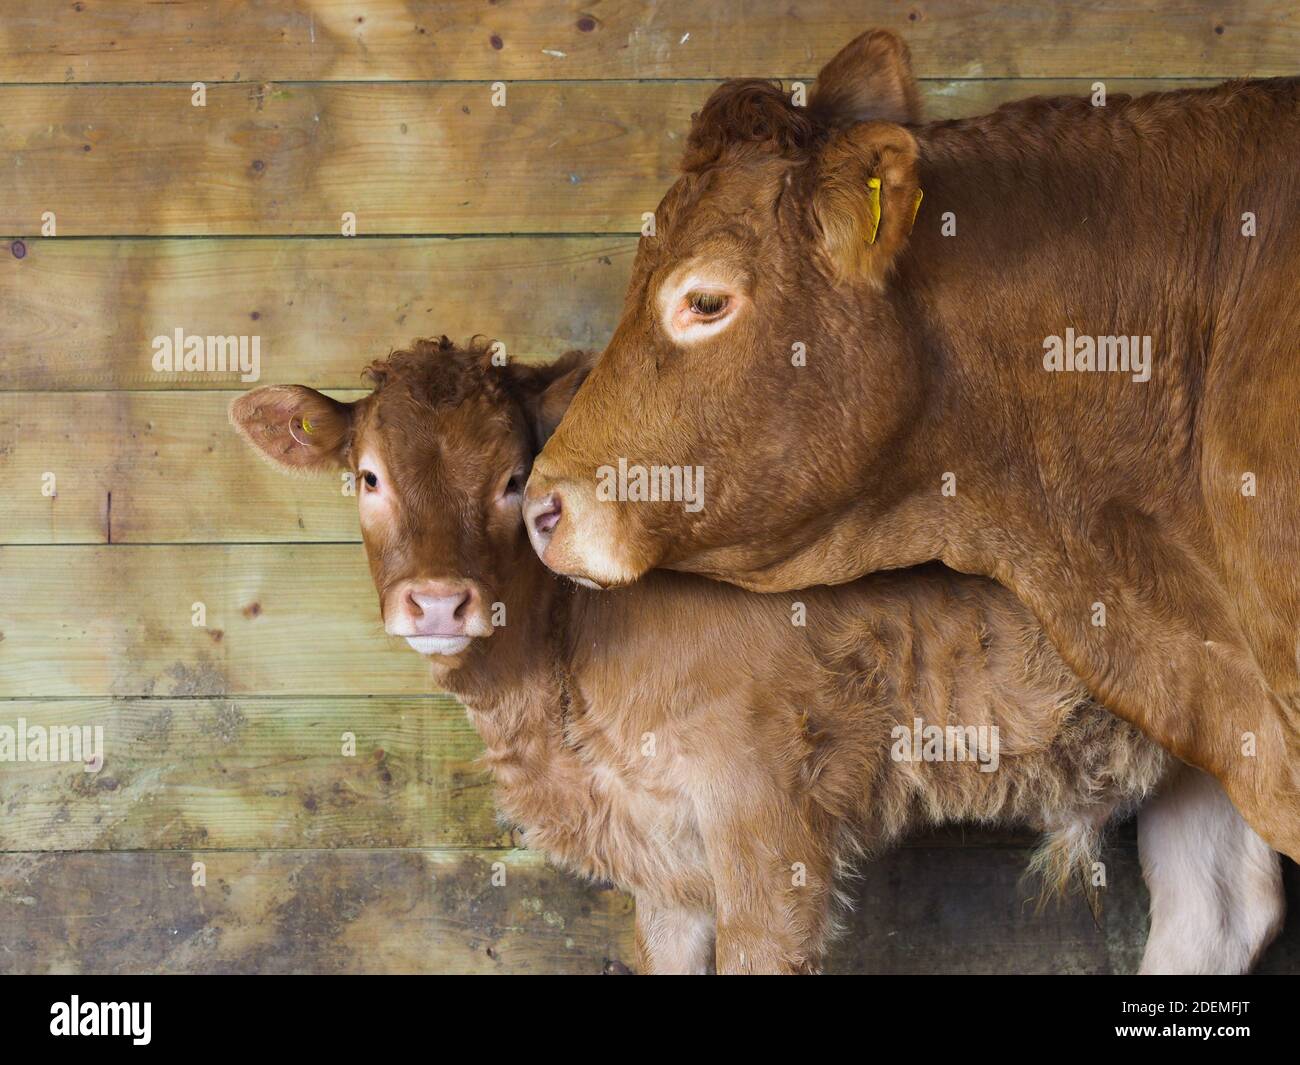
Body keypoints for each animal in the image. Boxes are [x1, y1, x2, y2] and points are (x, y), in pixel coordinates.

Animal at [230, 337, 1283, 974]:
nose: (440, 599)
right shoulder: (664, 857)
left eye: (514, 479)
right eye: (368, 476)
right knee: (1216, 914)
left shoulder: (767, 818)